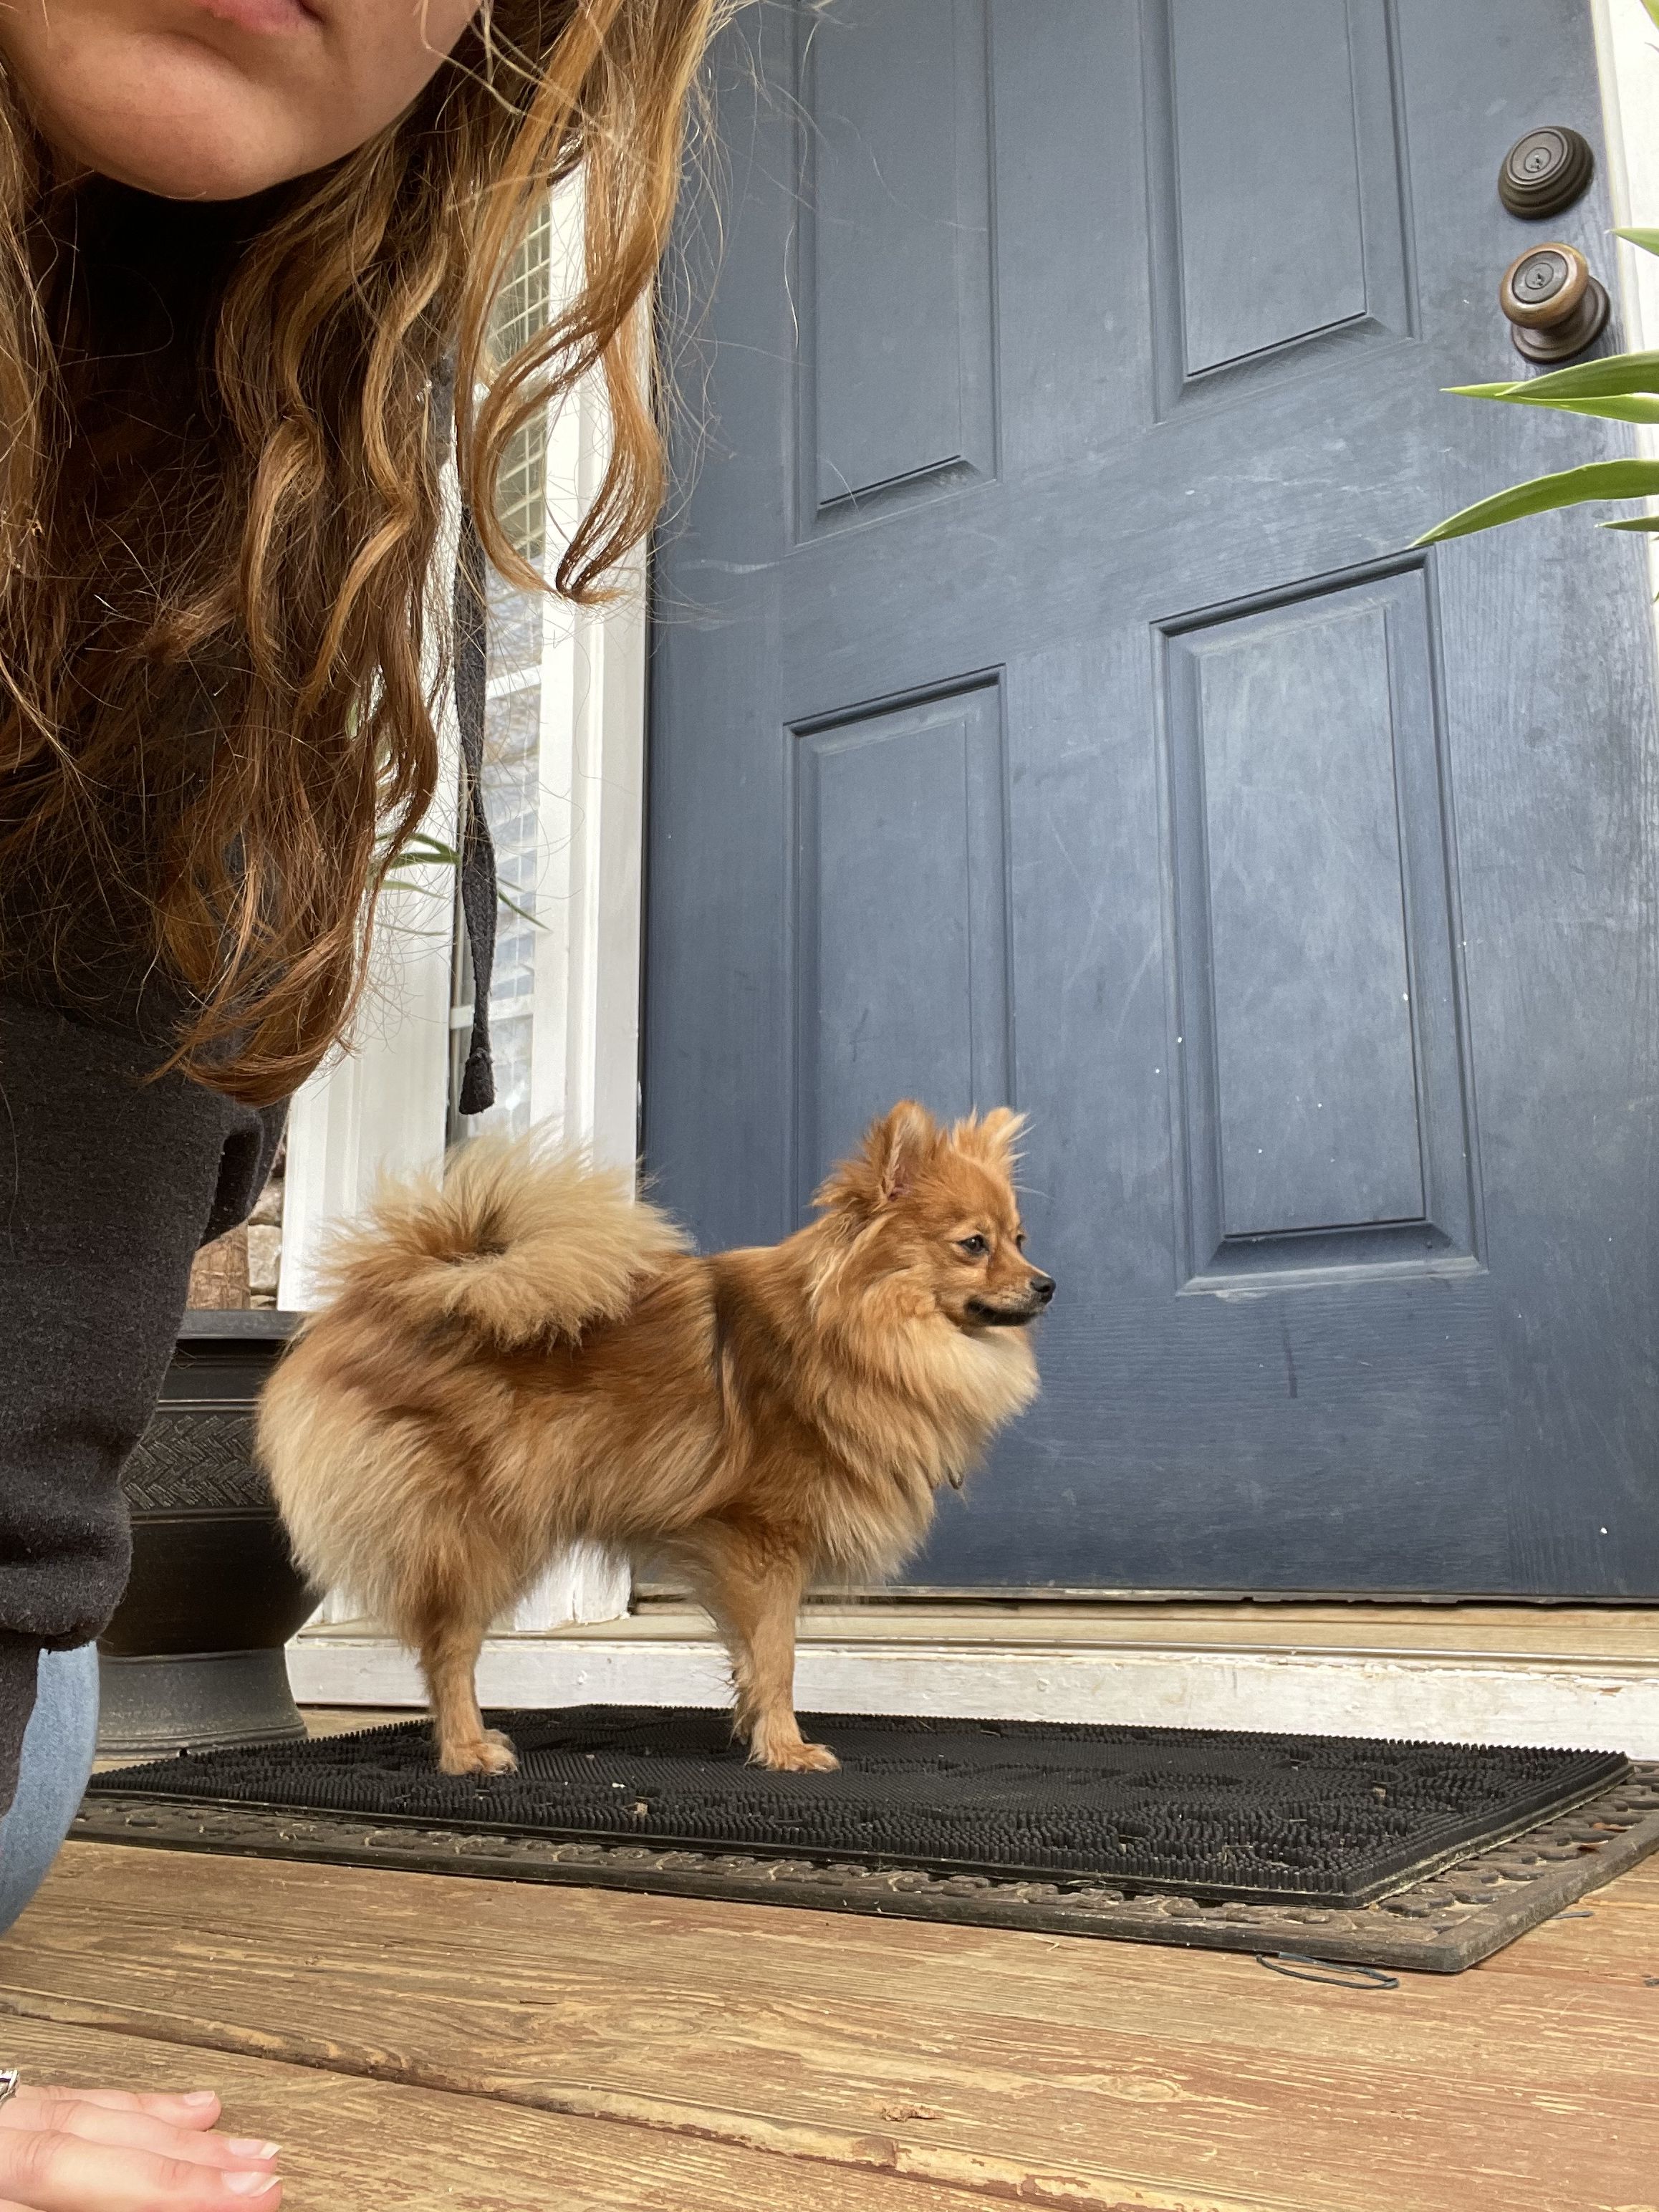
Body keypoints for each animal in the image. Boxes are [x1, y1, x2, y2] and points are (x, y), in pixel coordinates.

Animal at [260, 1099, 1052, 1776]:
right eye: (974, 1245)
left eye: (1019, 1241)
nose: (1046, 1283)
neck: (851, 1331)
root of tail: (392, 1293)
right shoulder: (764, 1539)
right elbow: (780, 1656)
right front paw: (787, 1748)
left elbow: (754, 1660)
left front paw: (756, 1728)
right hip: (480, 1533)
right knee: (448, 1647)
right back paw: (465, 1750)